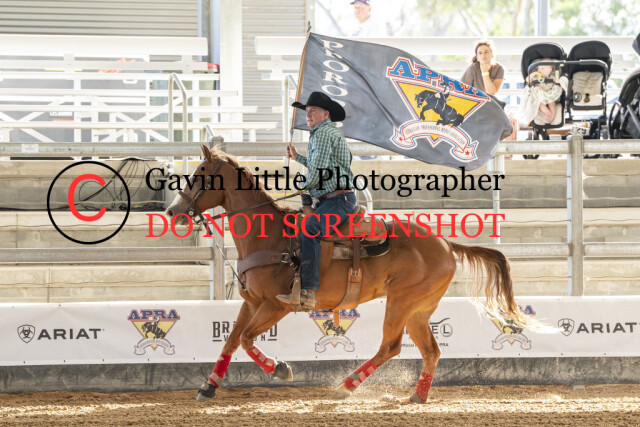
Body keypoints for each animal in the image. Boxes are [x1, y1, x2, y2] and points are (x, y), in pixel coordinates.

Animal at [165, 145, 536, 404]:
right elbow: (231, 340)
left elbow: (245, 339)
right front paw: (208, 387)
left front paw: (280, 369)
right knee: (431, 350)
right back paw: (417, 396)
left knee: (391, 346)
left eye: (200, 171)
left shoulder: (276, 305)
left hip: (401, 302)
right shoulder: (251, 302)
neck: (268, 235)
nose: (173, 210)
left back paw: (347, 385)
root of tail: (445, 243)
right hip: (419, 309)